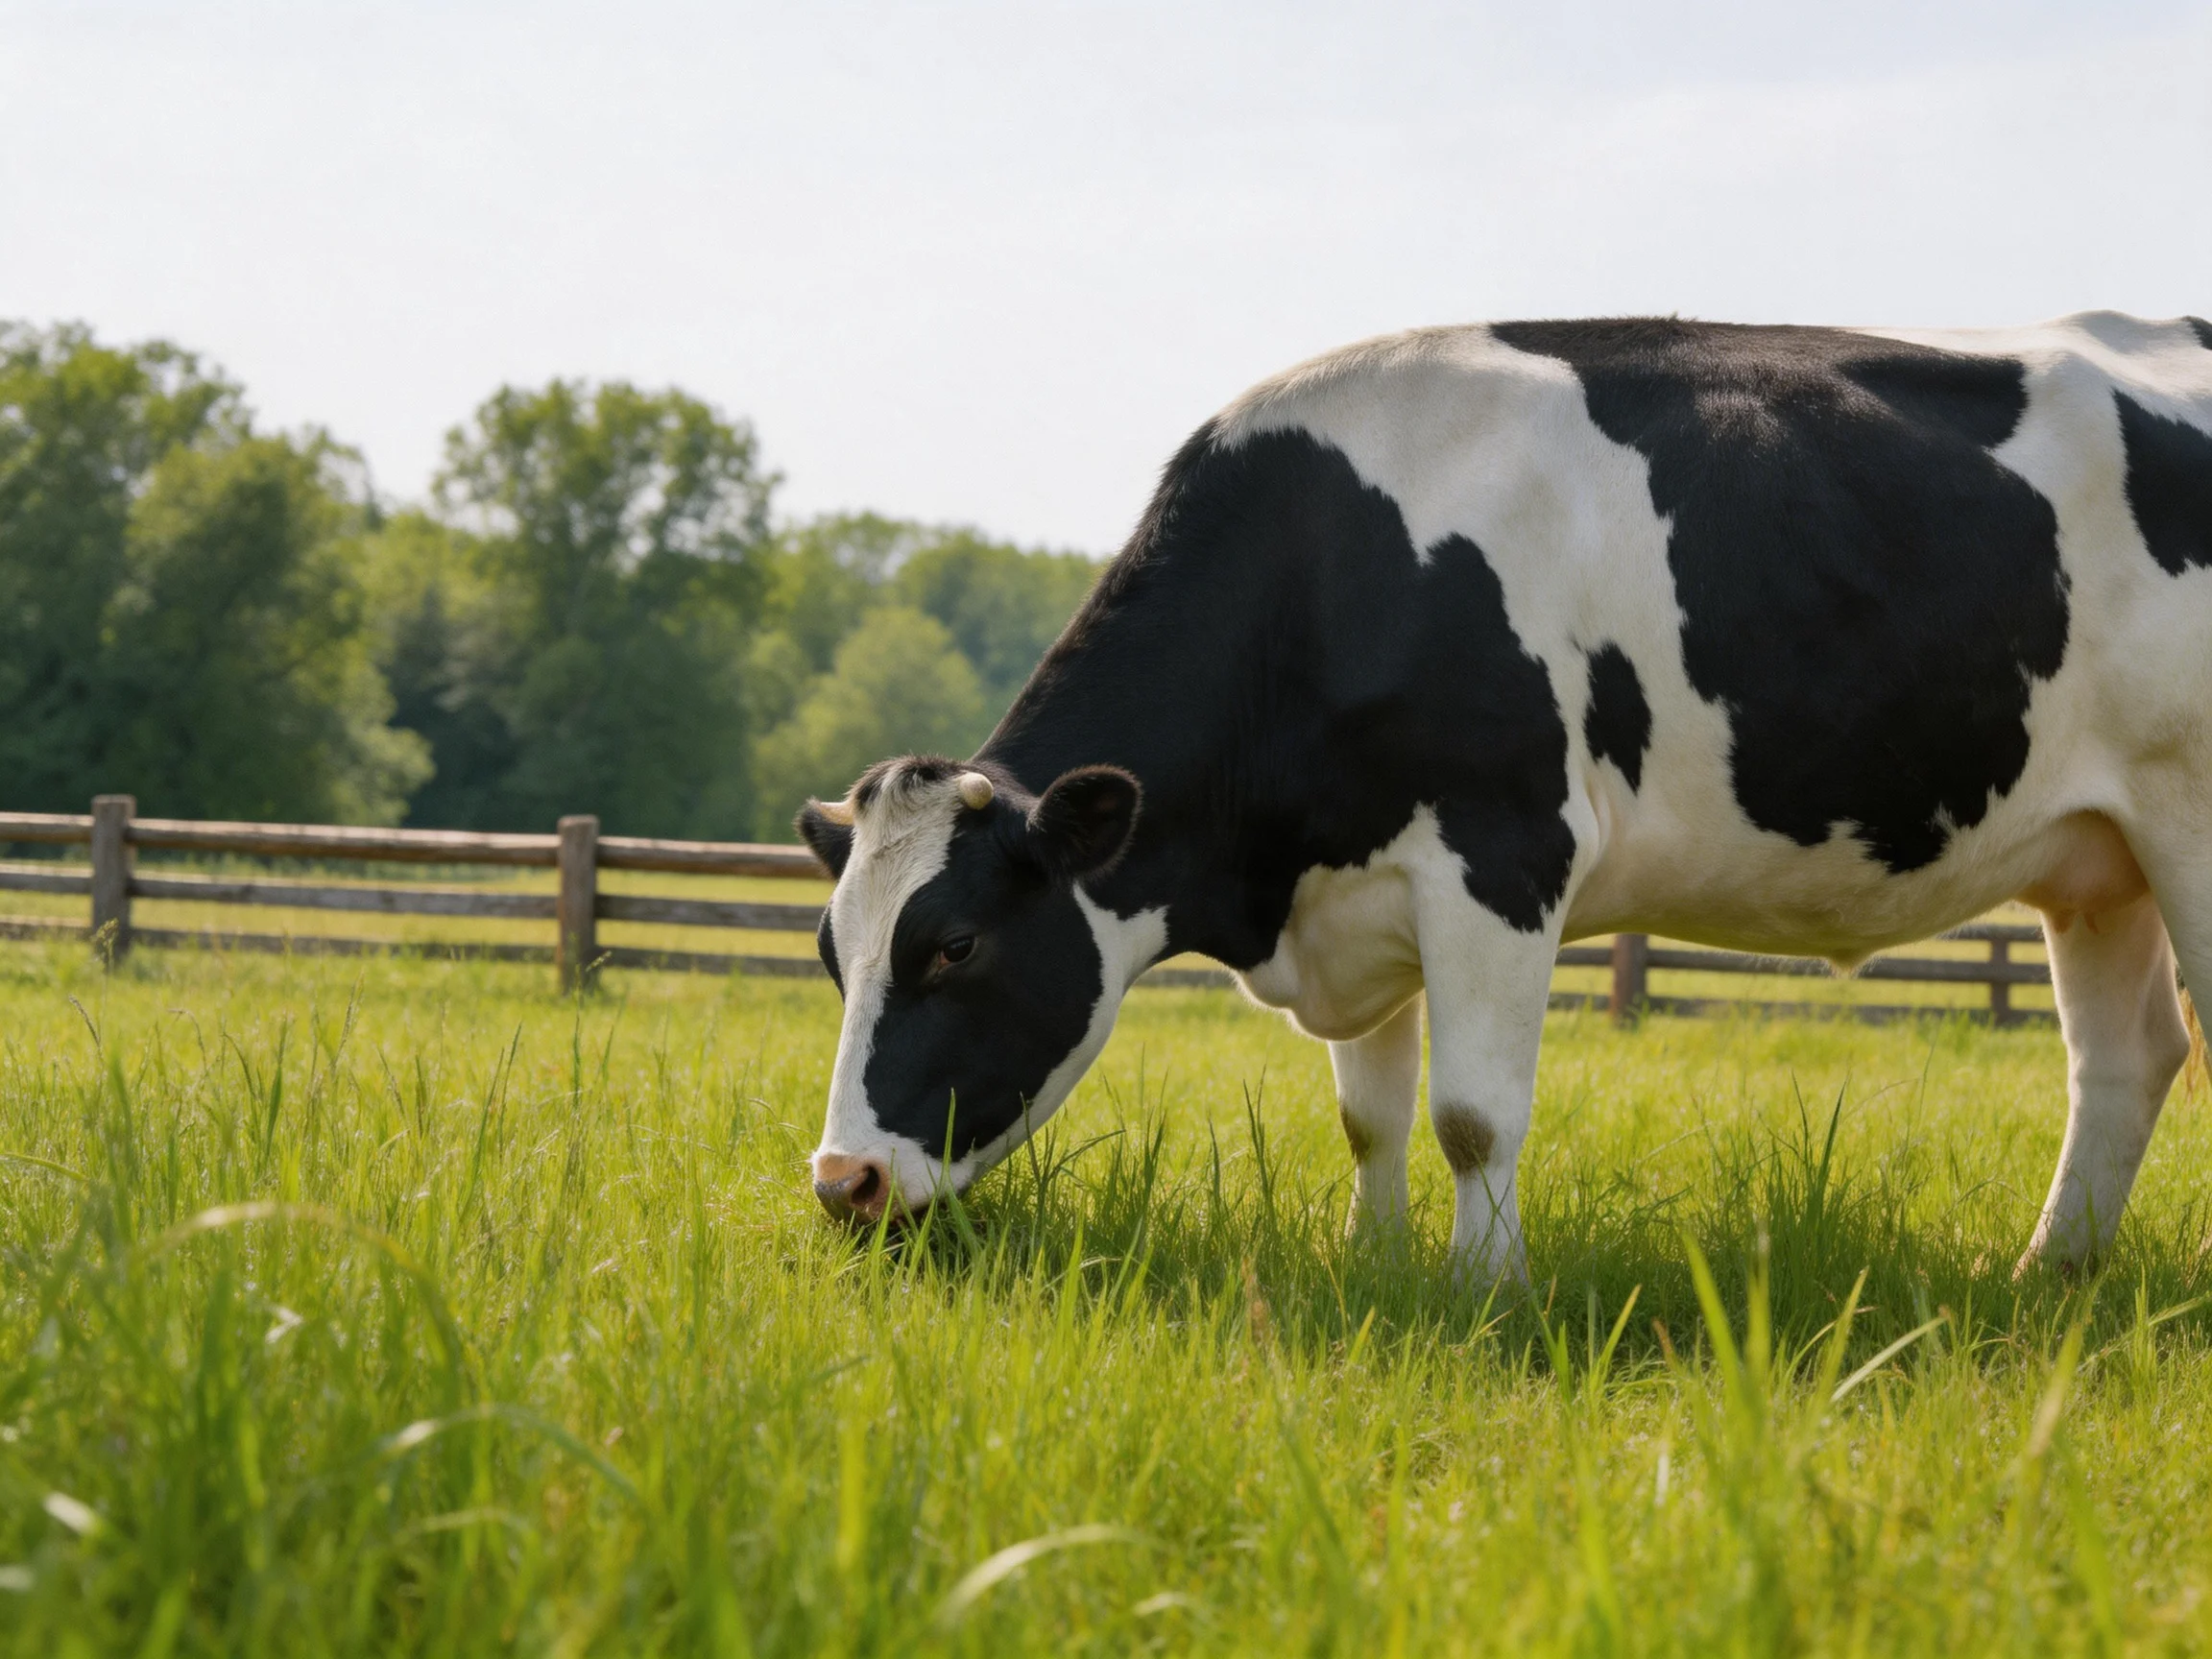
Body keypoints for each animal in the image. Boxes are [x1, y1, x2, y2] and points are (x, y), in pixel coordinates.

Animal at [799, 312, 2212, 1282]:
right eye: (831, 952)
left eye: (954, 944)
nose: (842, 1181)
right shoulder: (1355, 887)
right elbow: (1367, 1116)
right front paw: (1373, 1265)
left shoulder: (1500, 853)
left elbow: (1473, 1117)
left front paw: (1486, 1293)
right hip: (2099, 857)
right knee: (2125, 1056)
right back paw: (2046, 1276)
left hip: (2188, 816)